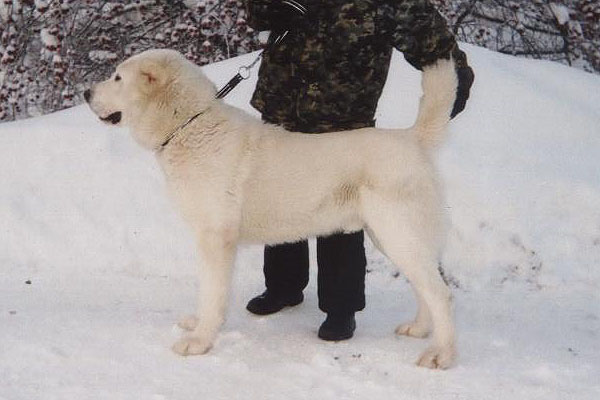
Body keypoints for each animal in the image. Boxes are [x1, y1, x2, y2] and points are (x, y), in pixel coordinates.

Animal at [86, 48, 458, 370]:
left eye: (117, 77)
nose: (87, 93)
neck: (189, 125)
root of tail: (412, 138)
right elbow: (211, 292)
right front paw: (199, 325)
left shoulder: (215, 238)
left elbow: (211, 291)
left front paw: (200, 341)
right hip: (391, 237)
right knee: (426, 286)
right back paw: (419, 329)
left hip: (398, 234)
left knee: (440, 293)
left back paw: (440, 354)